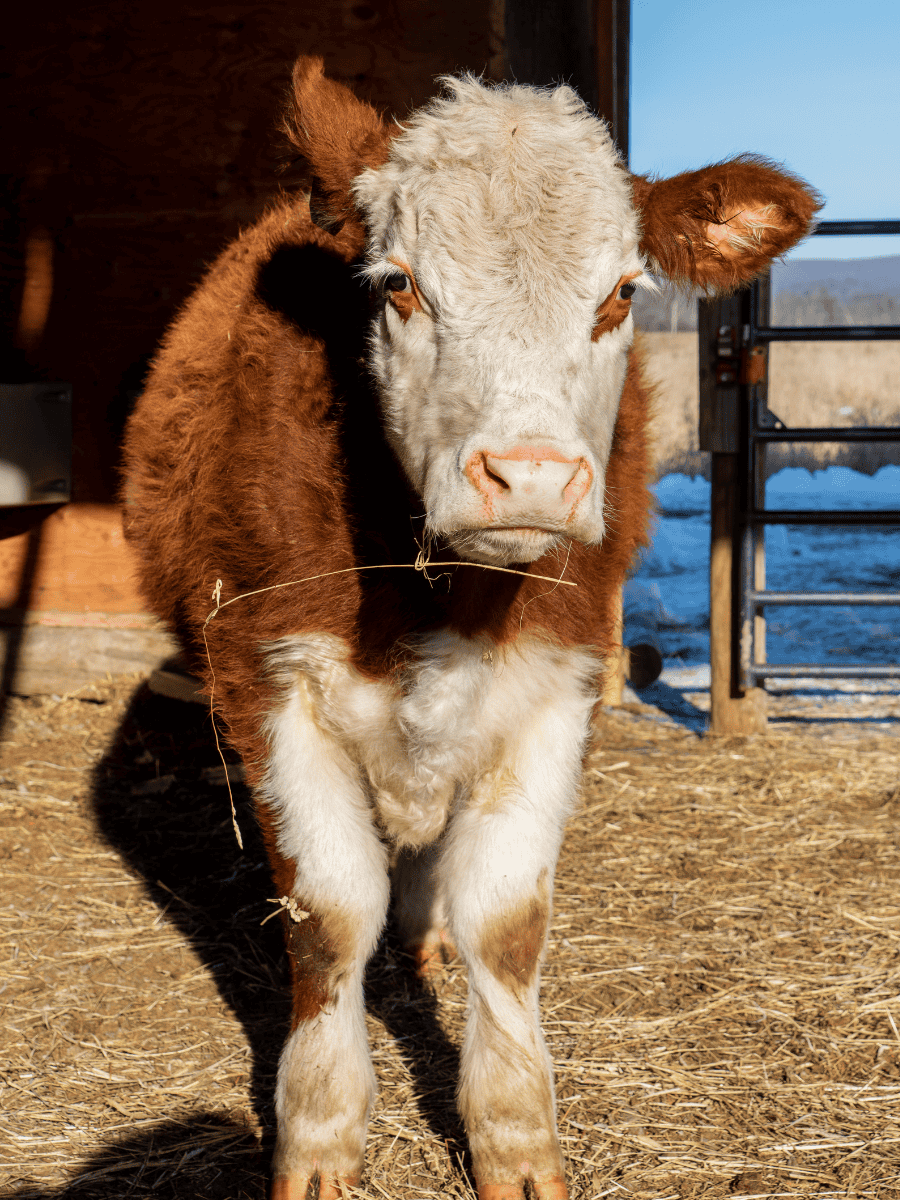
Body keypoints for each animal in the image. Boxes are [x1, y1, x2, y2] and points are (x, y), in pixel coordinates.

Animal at [121, 58, 820, 1200]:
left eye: (621, 293)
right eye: (400, 283)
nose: (529, 477)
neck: (447, 592)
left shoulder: (557, 687)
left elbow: (504, 920)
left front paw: (514, 1135)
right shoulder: (267, 680)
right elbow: (329, 913)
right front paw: (320, 1129)